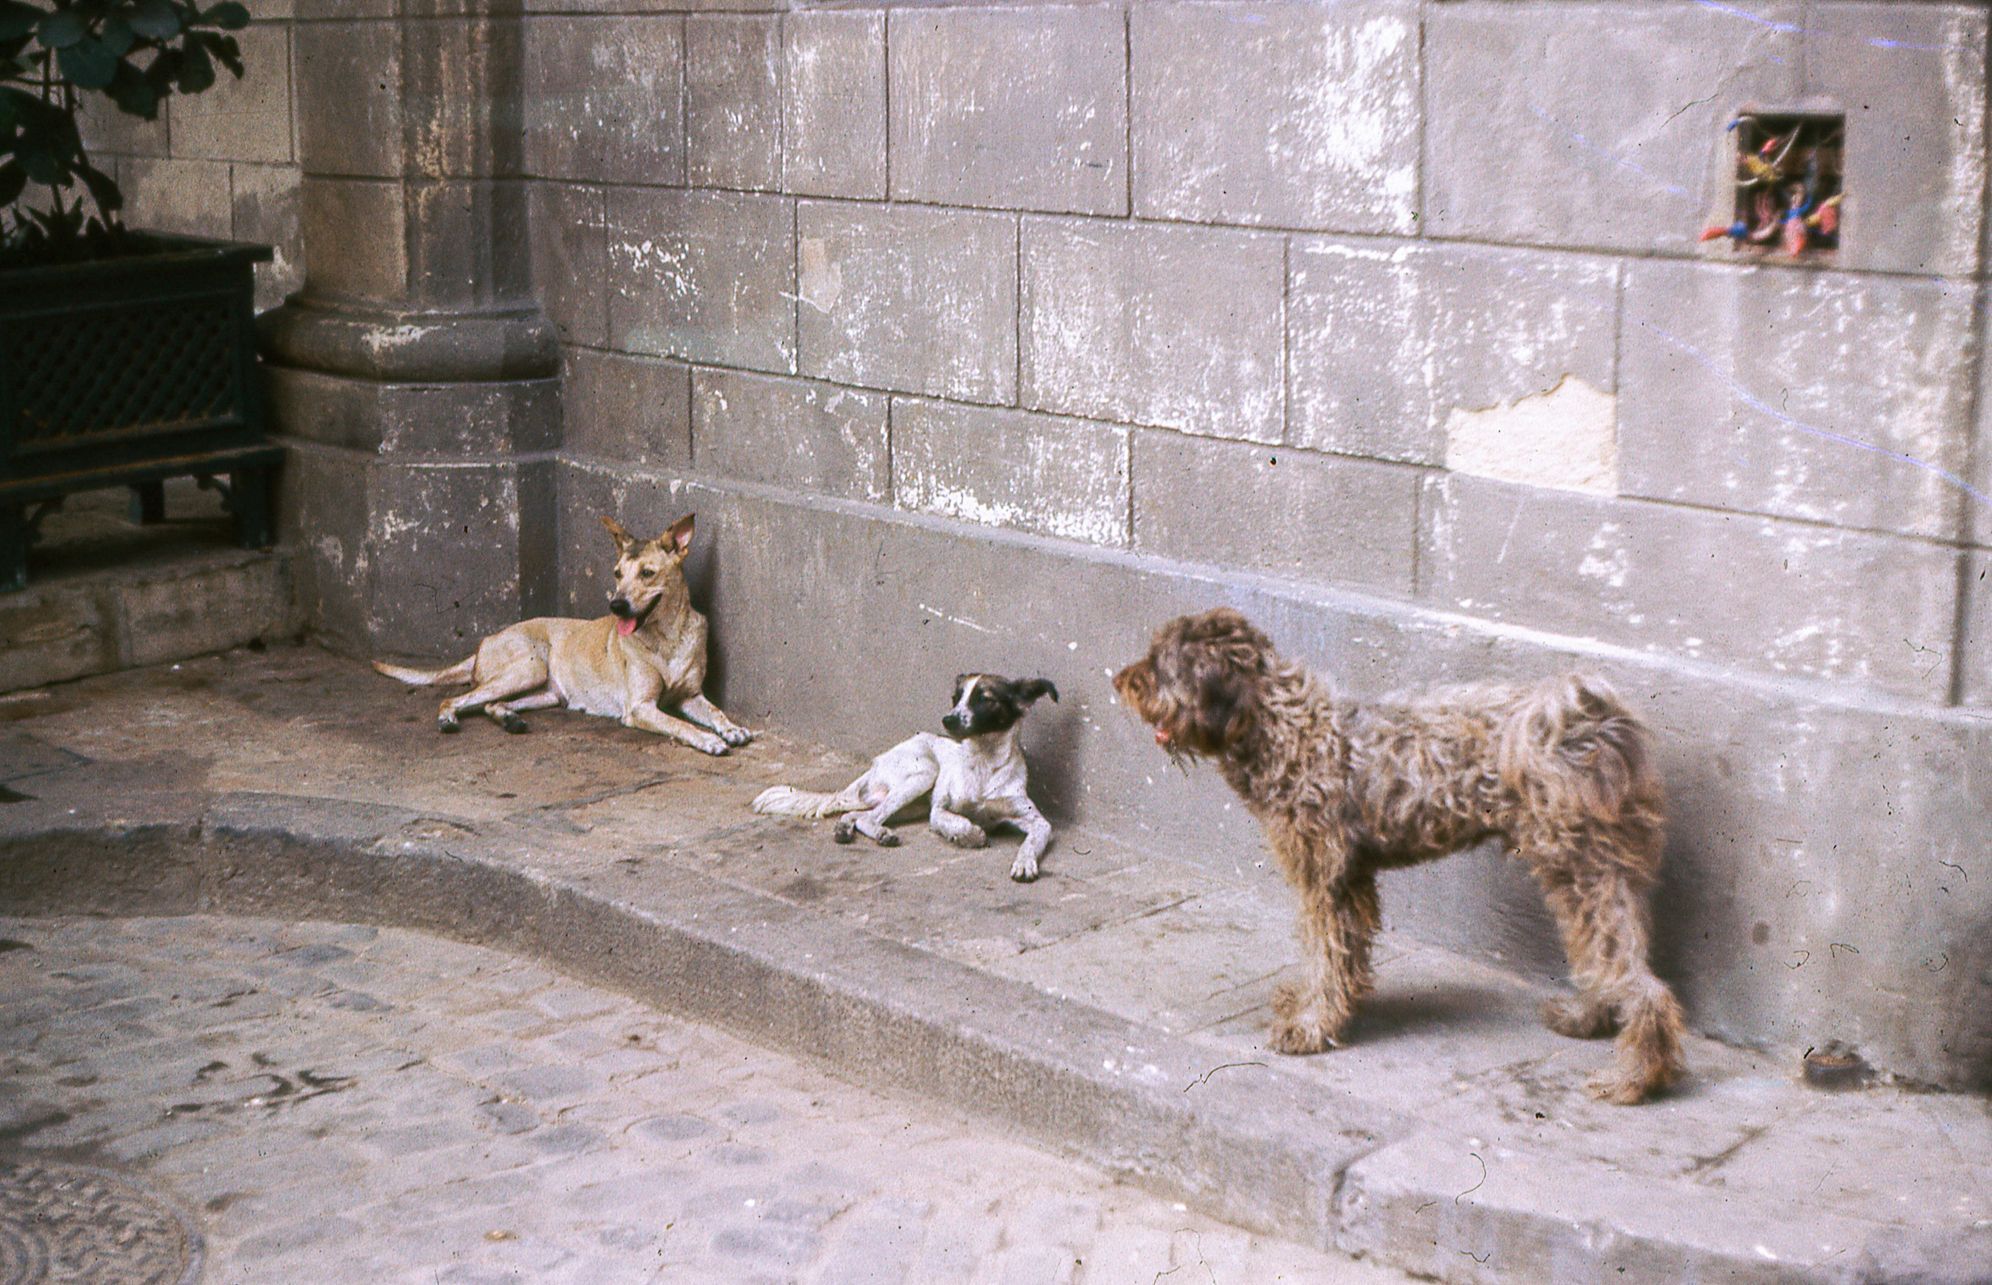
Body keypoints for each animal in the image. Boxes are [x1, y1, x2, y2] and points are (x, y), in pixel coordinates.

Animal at [370, 510, 748, 753]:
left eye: (647, 573)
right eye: (617, 573)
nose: (616, 605)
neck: (667, 638)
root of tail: (484, 642)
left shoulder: (690, 696)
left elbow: (715, 712)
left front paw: (731, 728)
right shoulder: (640, 707)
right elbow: (682, 726)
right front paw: (709, 739)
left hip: (547, 692)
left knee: (491, 704)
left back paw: (508, 718)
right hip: (531, 666)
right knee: (455, 698)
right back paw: (449, 718)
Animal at [748, 677, 1059, 876]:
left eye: (984, 699)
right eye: (955, 699)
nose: (948, 719)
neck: (984, 761)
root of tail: (876, 763)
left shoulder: (1035, 819)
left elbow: (1033, 840)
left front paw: (1025, 862)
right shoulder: (938, 810)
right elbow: (955, 821)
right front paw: (968, 835)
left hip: (913, 801)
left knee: (858, 815)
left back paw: (847, 829)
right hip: (924, 774)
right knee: (868, 818)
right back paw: (880, 834)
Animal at [1115, 605, 1689, 1099]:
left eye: (1161, 663)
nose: (1120, 681)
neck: (1282, 728)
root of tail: (1588, 728)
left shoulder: (1326, 880)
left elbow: (1326, 957)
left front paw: (1310, 1027)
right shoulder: (1352, 881)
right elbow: (1337, 961)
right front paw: (1314, 1008)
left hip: (1581, 870)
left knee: (1638, 981)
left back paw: (1635, 1078)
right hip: (1594, 877)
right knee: (1611, 957)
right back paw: (1587, 1020)